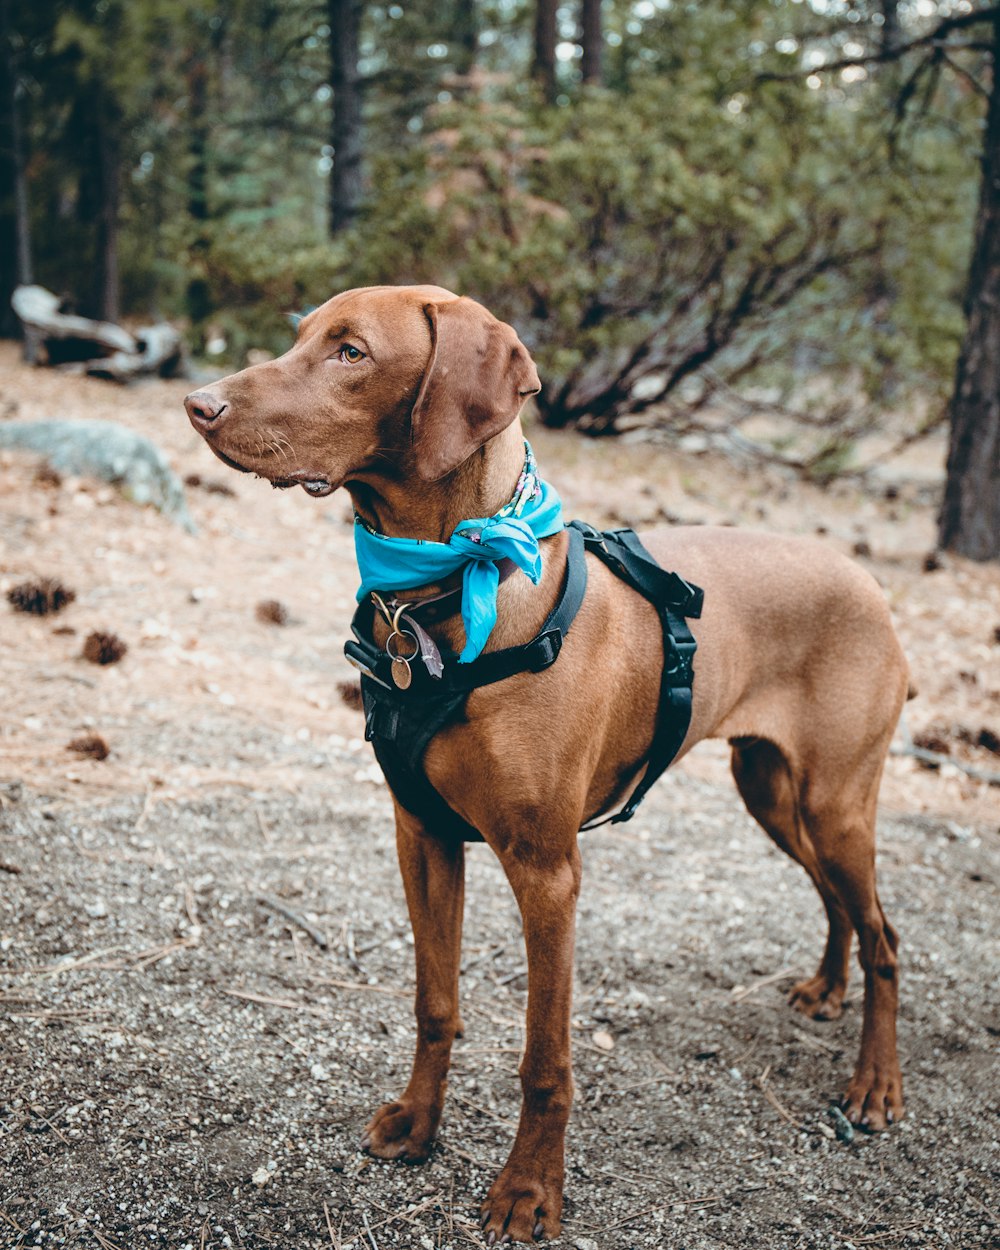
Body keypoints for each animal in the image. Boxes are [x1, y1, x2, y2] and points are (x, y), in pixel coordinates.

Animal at [183, 287, 910, 1245]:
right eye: (302, 336)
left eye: (350, 352)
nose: (198, 404)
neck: (453, 580)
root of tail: (866, 579)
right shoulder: (422, 835)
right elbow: (435, 1005)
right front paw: (418, 1127)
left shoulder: (546, 872)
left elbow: (544, 1061)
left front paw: (529, 1191)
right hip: (770, 790)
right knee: (839, 905)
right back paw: (827, 989)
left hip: (835, 803)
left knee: (885, 936)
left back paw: (876, 1087)